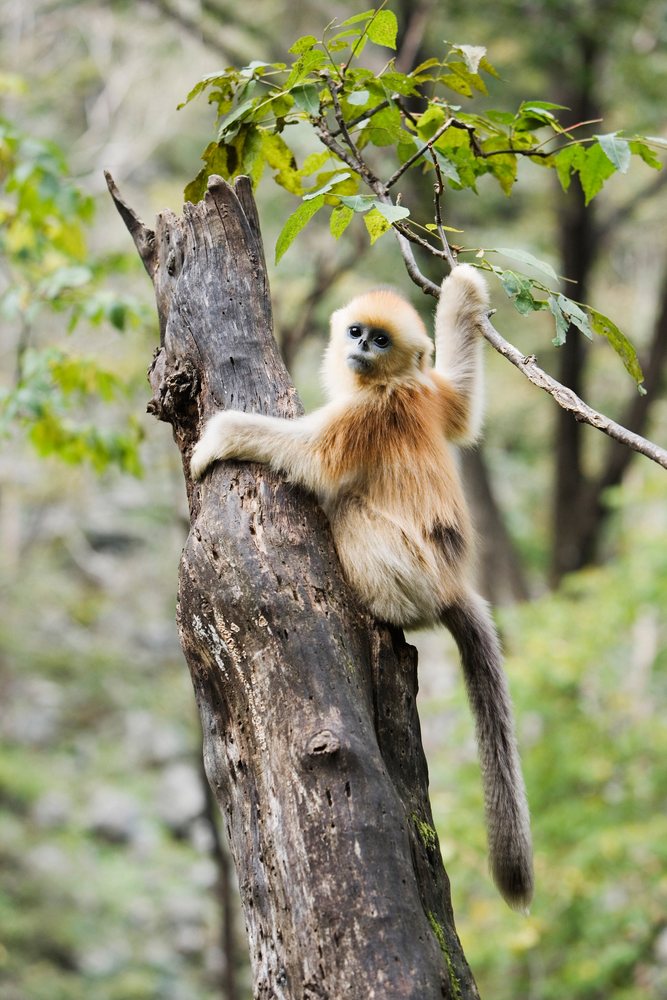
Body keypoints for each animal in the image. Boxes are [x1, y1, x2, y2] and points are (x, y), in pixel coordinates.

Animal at [190, 264, 534, 911]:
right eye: (356, 331)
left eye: (380, 340)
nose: (360, 350)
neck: (392, 383)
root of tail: (451, 586)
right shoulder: (433, 396)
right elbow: (462, 408)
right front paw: (464, 291)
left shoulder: (369, 412)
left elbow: (312, 458)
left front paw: (221, 435)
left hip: (408, 573)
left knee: (347, 504)